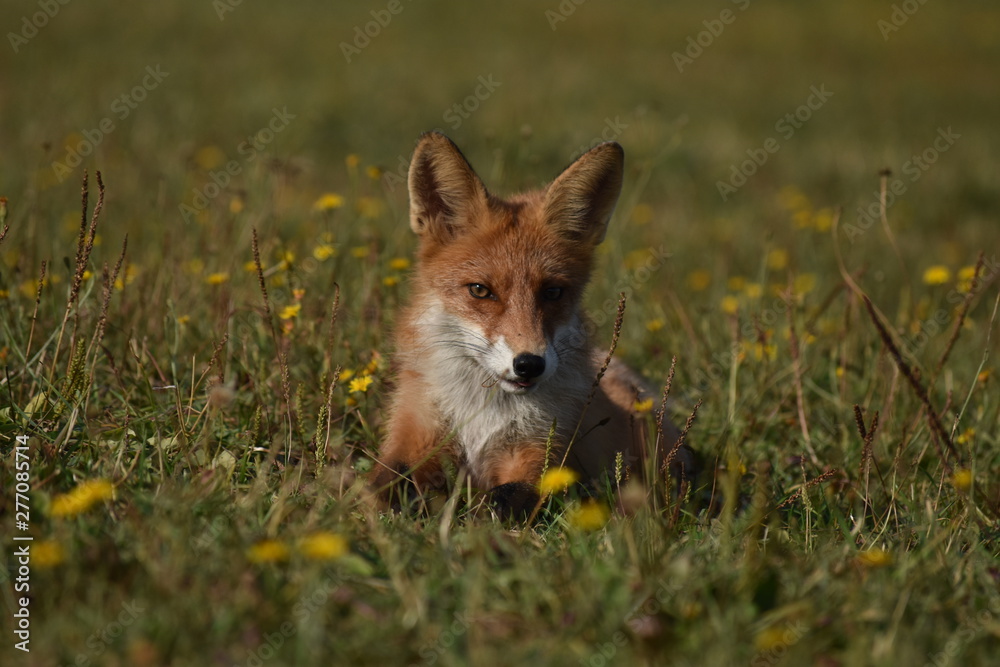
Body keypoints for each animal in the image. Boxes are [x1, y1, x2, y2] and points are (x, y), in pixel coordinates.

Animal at [370, 131, 685, 518]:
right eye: (480, 290)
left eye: (552, 292)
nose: (529, 364)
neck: (483, 415)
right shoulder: (414, 433)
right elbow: (383, 484)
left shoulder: (541, 455)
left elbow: (504, 500)